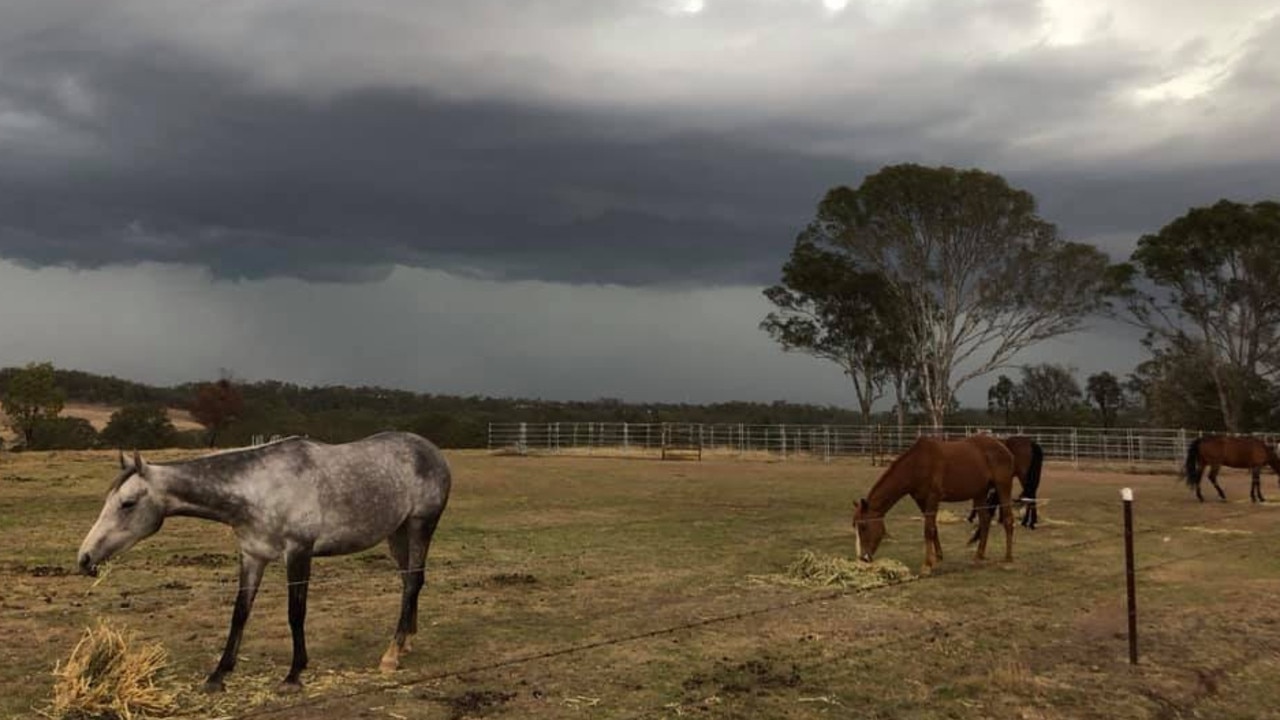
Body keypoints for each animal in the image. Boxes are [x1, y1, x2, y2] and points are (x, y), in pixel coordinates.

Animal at [77, 430, 453, 691]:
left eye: (127, 504)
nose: (85, 558)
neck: (260, 489)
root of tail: (431, 451)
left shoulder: (298, 552)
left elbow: (295, 613)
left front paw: (294, 674)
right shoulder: (252, 555)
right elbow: (240, 613)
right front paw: (219, 674)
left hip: (420, 526)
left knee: (413, 581)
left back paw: (391, 655)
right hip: (397, 533)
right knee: (408, 581)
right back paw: (406, 642)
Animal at [855, 427, 1013, 573]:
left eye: (863, 526)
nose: (864, 558)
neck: (916, 464)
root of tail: (1003, 447)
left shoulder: (933, 498)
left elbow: (928, 529)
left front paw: (927, 565)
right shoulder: (921, 501)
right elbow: (933, 528)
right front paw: (938, 557)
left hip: (1003, 487)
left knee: (1007, 519)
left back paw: (1008, 558)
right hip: (980, 493)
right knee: (985, 520)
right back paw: (979, 555)